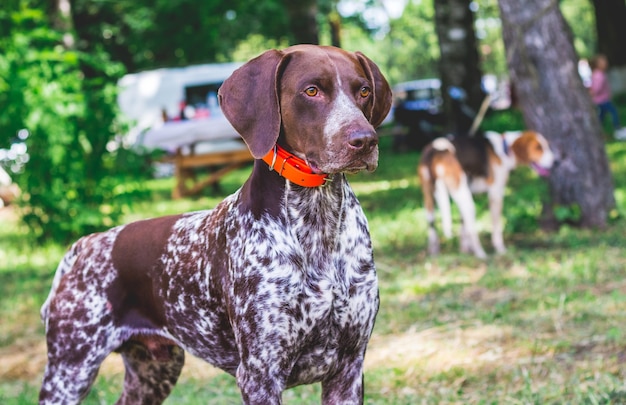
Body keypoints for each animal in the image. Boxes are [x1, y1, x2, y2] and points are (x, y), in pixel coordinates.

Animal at [416, 132, 552, 258]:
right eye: (538, 147)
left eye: (546, 146)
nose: (555, 161)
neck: (503, 149)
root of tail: (435, 148)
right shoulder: (496, 194)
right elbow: (496, 228)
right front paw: (500, 249)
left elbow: (463, 227)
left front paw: (464, 250)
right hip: (465, 198)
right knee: (473, 230)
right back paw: (480, 253)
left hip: (431, 197)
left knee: (432, 226)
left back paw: (434, 253)